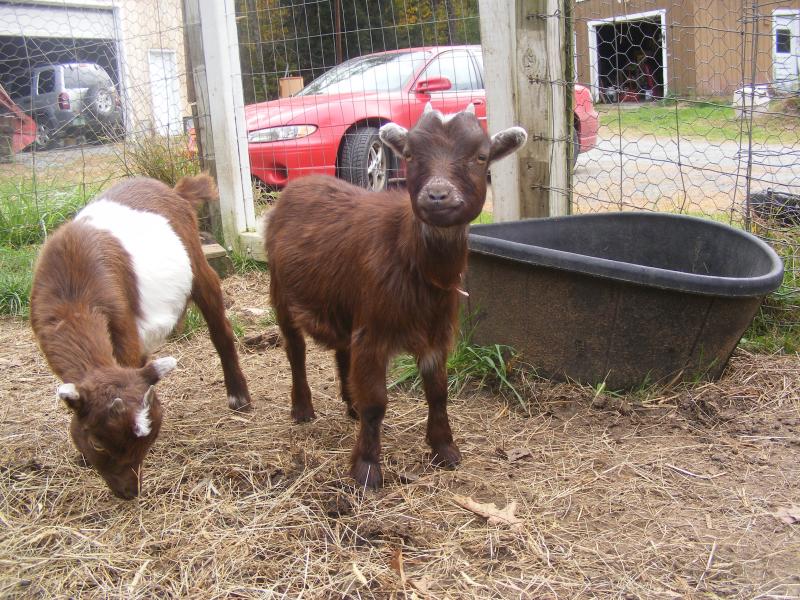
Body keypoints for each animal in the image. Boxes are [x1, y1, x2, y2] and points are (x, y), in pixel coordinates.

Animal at [30, 175, 251, 499]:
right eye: (96, 443)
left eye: (147, 442)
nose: (128, 492)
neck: (73, 293)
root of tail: (174, 191)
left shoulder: (122, 322)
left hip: (198, 264)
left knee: (219, 329)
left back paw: (239, 397)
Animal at [265, 103, 527, 488]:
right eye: (411, 154)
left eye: (480, 156)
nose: (437, 195)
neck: (412, 259)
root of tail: (301, 182)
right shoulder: (374, 330)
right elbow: (376, 402)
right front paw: (366, 469)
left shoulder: (436, 334)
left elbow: (438, 392)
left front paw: (445, 450)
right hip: (280, 292)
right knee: (295, 349)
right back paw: (302, 409)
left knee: (342, 351)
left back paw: (350, 405)